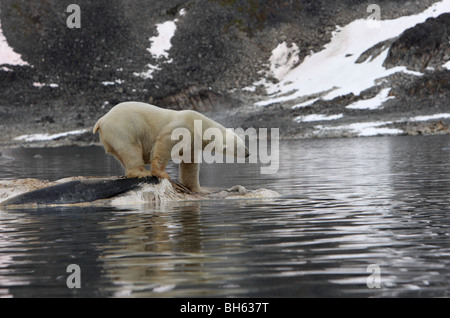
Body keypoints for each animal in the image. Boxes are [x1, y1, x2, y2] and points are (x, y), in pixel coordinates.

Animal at [93, 102, 250, 193]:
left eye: (243, 142)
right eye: (240, 147)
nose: (248, 153)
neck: (199, 124)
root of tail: (102, 120)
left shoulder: (193, 143)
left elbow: (190, 165)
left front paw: (199, 189)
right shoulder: (183, 127)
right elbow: (165, 142)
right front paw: (161, 173)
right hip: (123, 127)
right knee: (130, 149)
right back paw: (142, 172)